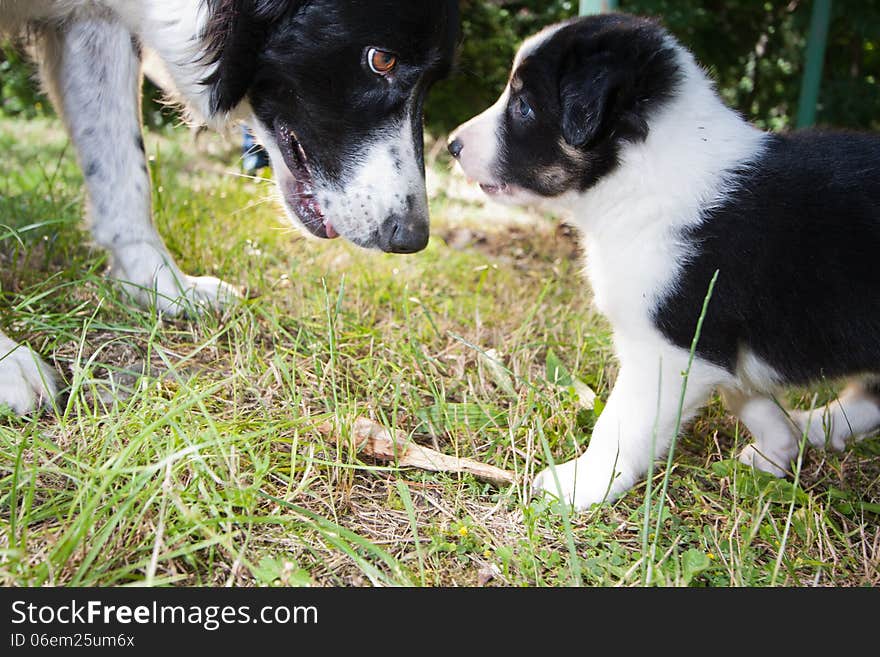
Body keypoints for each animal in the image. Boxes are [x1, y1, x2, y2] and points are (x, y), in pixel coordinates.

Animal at [1, 1, 460, 416]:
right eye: (381, 59)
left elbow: (124, 172)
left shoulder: (95, 20)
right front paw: (7, 363)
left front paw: (164, 285)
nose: (412, 237)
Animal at [450, 14, 876, 508]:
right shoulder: (710, 344)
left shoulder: (668, 346)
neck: (641, 175)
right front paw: (779, 446)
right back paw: (817, 427)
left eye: (523, 106)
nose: (451, 145)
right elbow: (743, 393)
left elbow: (622, 423)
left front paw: (581, 484)